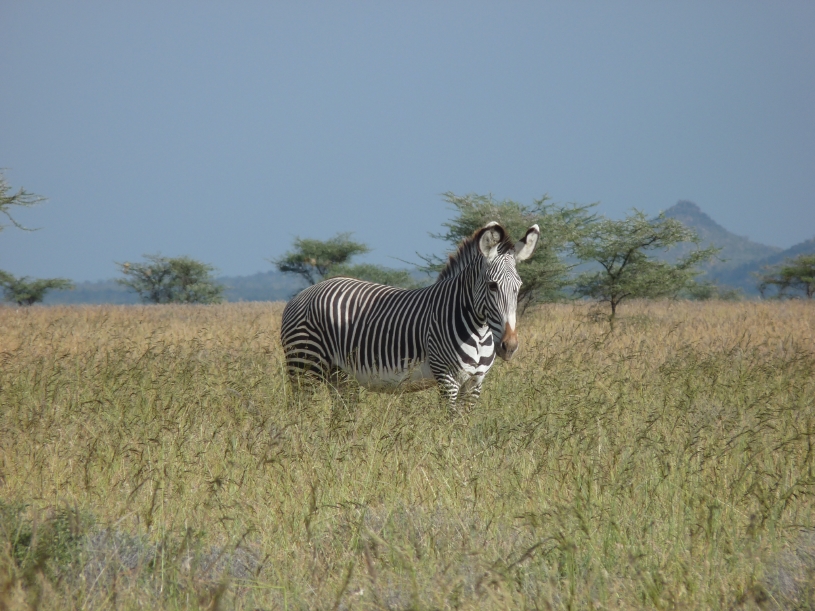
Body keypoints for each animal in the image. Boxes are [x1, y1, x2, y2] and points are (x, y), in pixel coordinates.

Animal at [280, 221, 540, 407]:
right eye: (492, 286)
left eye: (519, 286)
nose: (509, 346)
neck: (479, 331)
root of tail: (302, 294)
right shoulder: (447, 378)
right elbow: (451, 426)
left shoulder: (475, 382)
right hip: (304, 365)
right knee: (302, 412)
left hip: (339, 372)